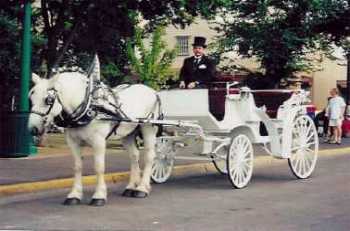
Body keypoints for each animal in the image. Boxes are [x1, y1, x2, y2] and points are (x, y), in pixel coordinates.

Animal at [28, 71, 160, 206]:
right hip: (128, 133)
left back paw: (142, 188)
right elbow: (77, 167)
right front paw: (74, 195)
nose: (33, 129)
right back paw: (131, 187)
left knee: (149, 157)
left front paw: (99, 195)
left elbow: (99, 167)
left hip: (148, 128)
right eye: (31, 98)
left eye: (48, 100)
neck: (88, 108)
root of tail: (153, 92)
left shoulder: (99, 141)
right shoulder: (73, 142)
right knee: (134, 156)